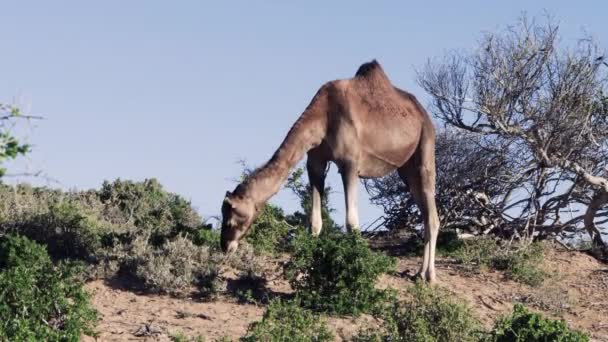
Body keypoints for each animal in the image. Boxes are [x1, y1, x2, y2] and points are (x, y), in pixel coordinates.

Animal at [221, 60, 440, 282]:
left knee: (432, 214)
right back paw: (419, 273)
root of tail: (423, 113)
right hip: (407, 169)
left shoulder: (349, 163)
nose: (225, 246)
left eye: (230, 220)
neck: (323, 117)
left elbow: (351, 222)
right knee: (424, 209)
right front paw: (302, 273)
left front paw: (356, 274)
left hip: (426, 144)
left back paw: (429, 276)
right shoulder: (315, 162)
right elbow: (314, 222)